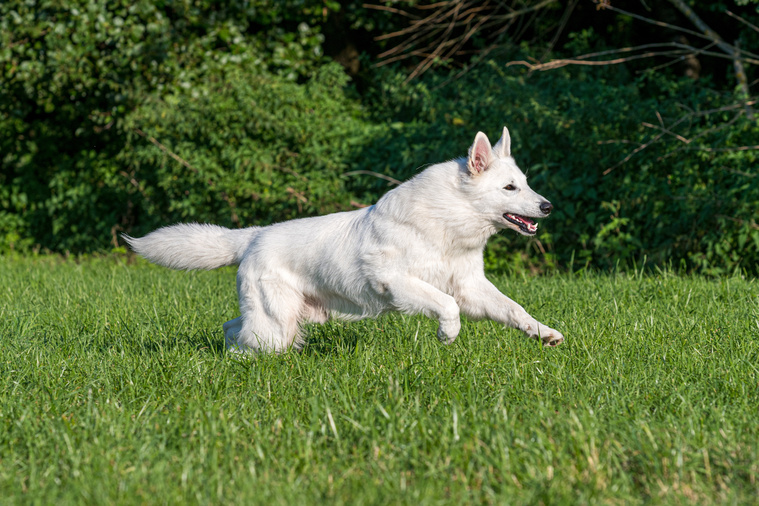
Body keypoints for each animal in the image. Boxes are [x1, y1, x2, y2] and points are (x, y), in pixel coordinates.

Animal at [124, 127, 564, 352]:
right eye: (509, 188)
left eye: (525, 183)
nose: (548, 207)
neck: (447, 222)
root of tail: (254, 237)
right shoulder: (397, 282)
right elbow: (447, 306)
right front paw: (447, 335)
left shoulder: (472, 287)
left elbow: (514, 309)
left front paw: (542, 333)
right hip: (274, 326)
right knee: (238, 334)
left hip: (278, 321)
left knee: (231, 326)